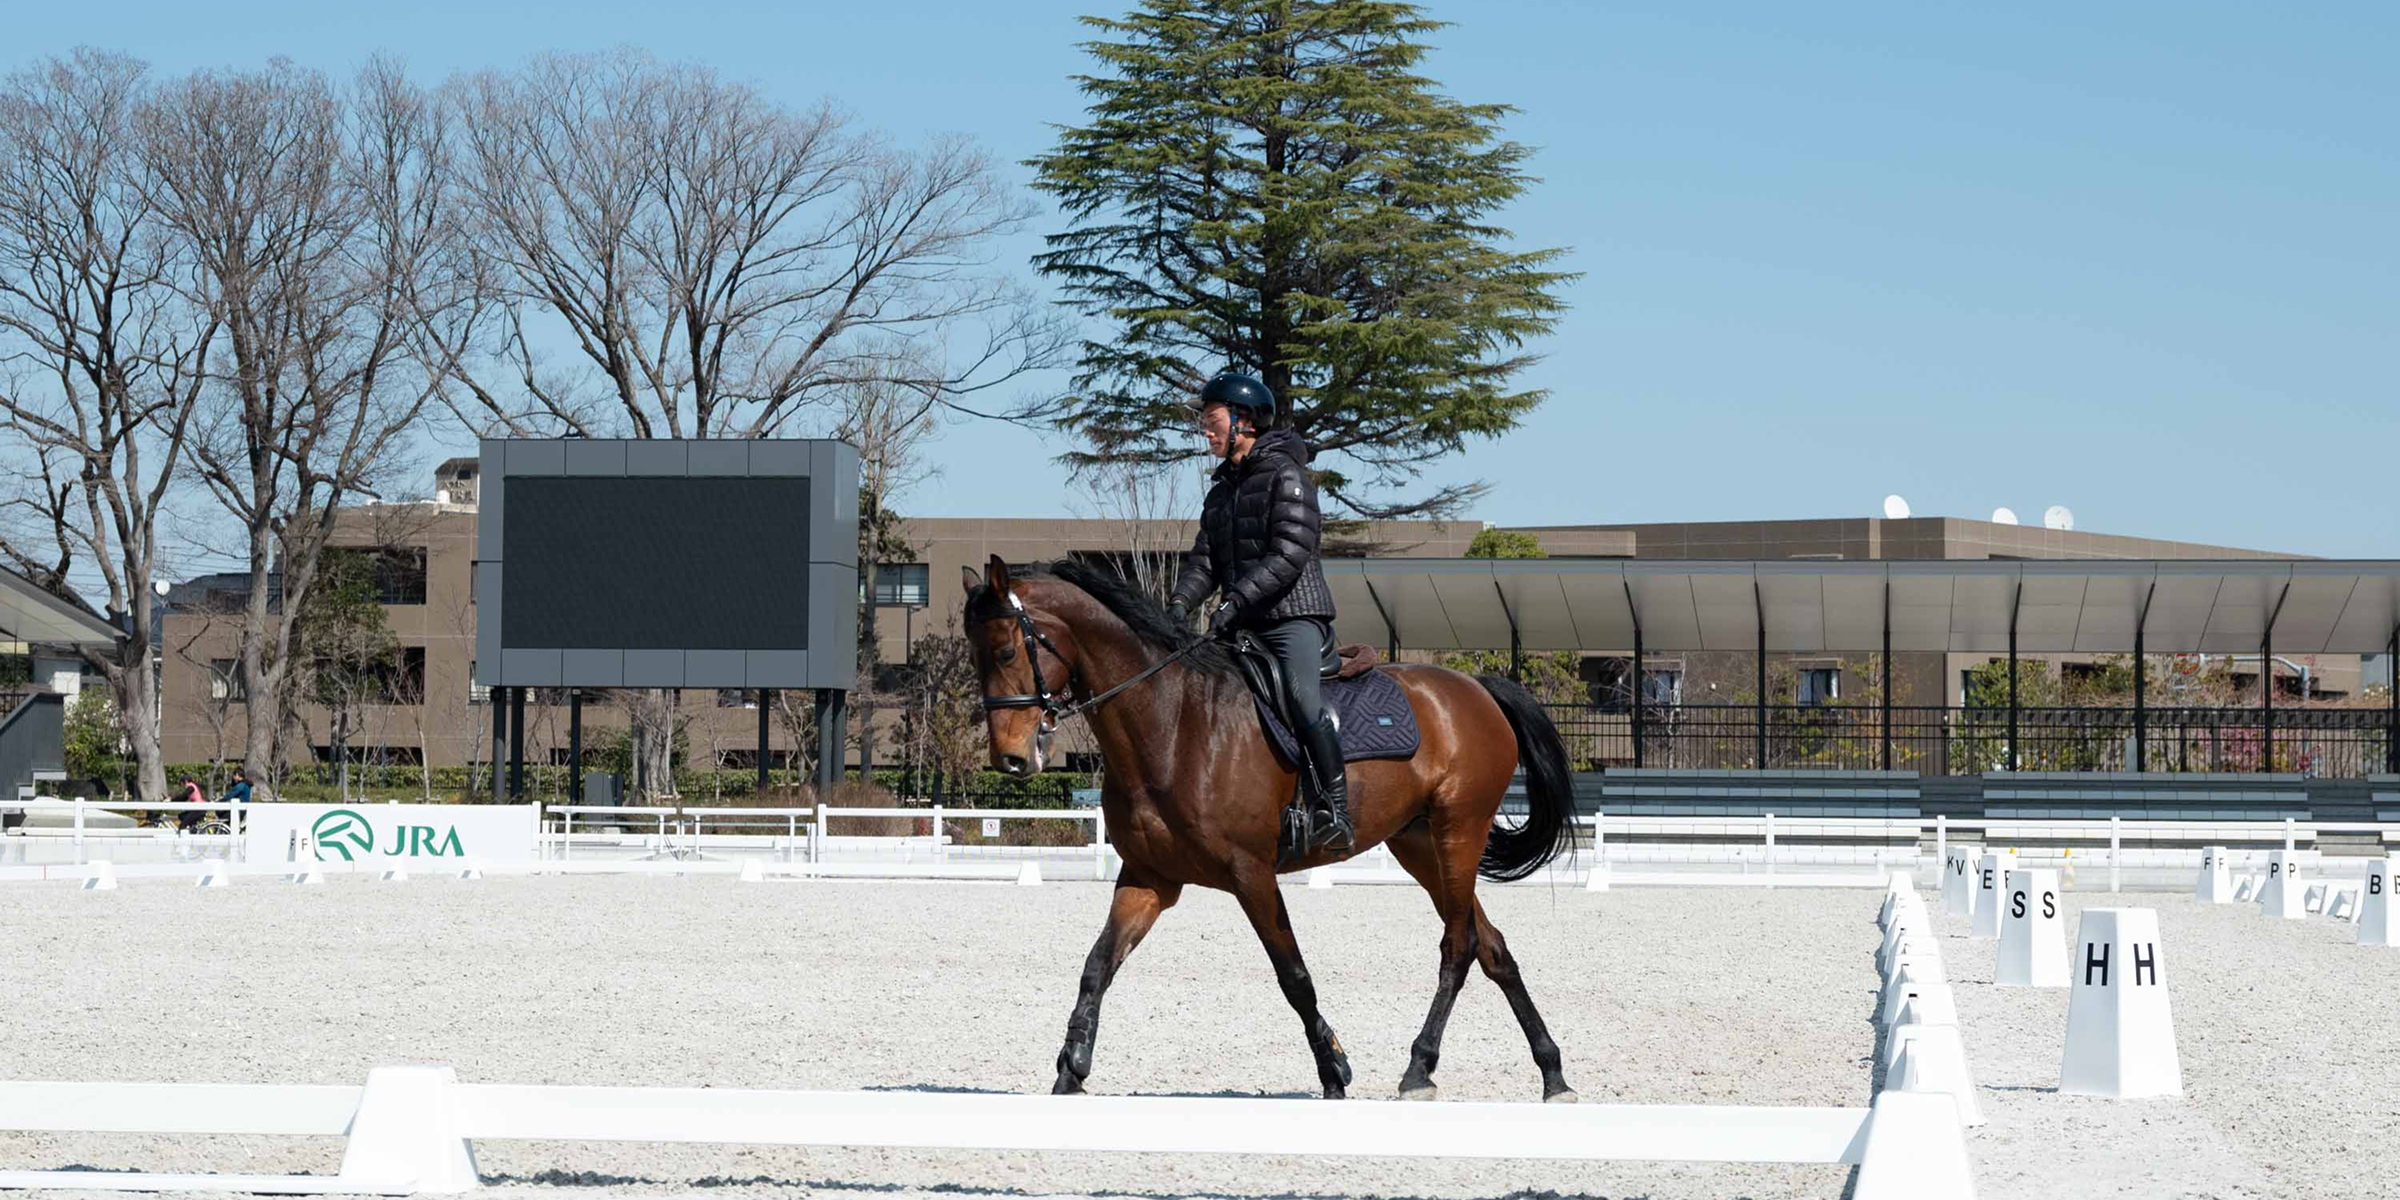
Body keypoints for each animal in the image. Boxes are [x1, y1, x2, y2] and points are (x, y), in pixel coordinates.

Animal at [961, 554, 1581, 1102]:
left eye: (1007, 649)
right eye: (974, 655)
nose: (1011, 759)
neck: (1172, 723)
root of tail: (1476, 688)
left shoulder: (1251, 874)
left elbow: (1294, 976)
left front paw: (1334, 1071)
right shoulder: (1149, 878)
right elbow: (1097, 966)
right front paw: (1071, 1070)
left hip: (1459, 829)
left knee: (1459, 944)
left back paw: (1419, 1070)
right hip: (1420, 843)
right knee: (1490, 946)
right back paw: (1551, 1074)